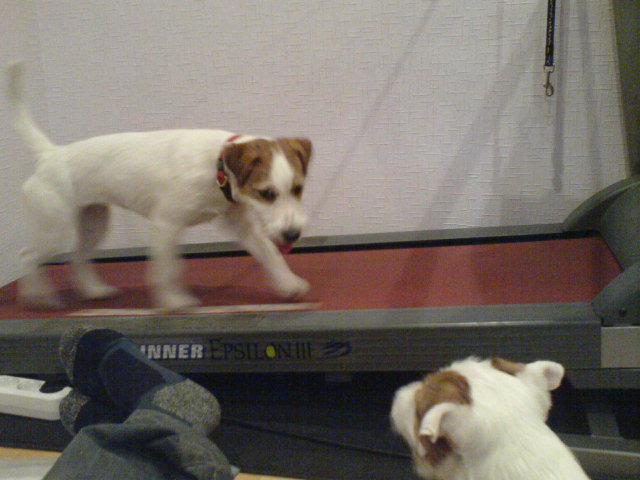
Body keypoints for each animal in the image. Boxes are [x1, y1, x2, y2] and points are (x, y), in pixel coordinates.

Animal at [6, 62, 312, 311]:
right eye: (266, 193)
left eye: (298, 189)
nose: (293, 234)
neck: (218, 169)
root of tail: (51, 154)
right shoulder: (165, 224)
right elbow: (167, 269)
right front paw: (173, 301)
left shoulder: (242, 226)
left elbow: (270, 254)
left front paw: (289, 284)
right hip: (52, 230)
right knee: (26, 257)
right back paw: (38, 297)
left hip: (94, 222)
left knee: (78, 256)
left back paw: (93, 291)